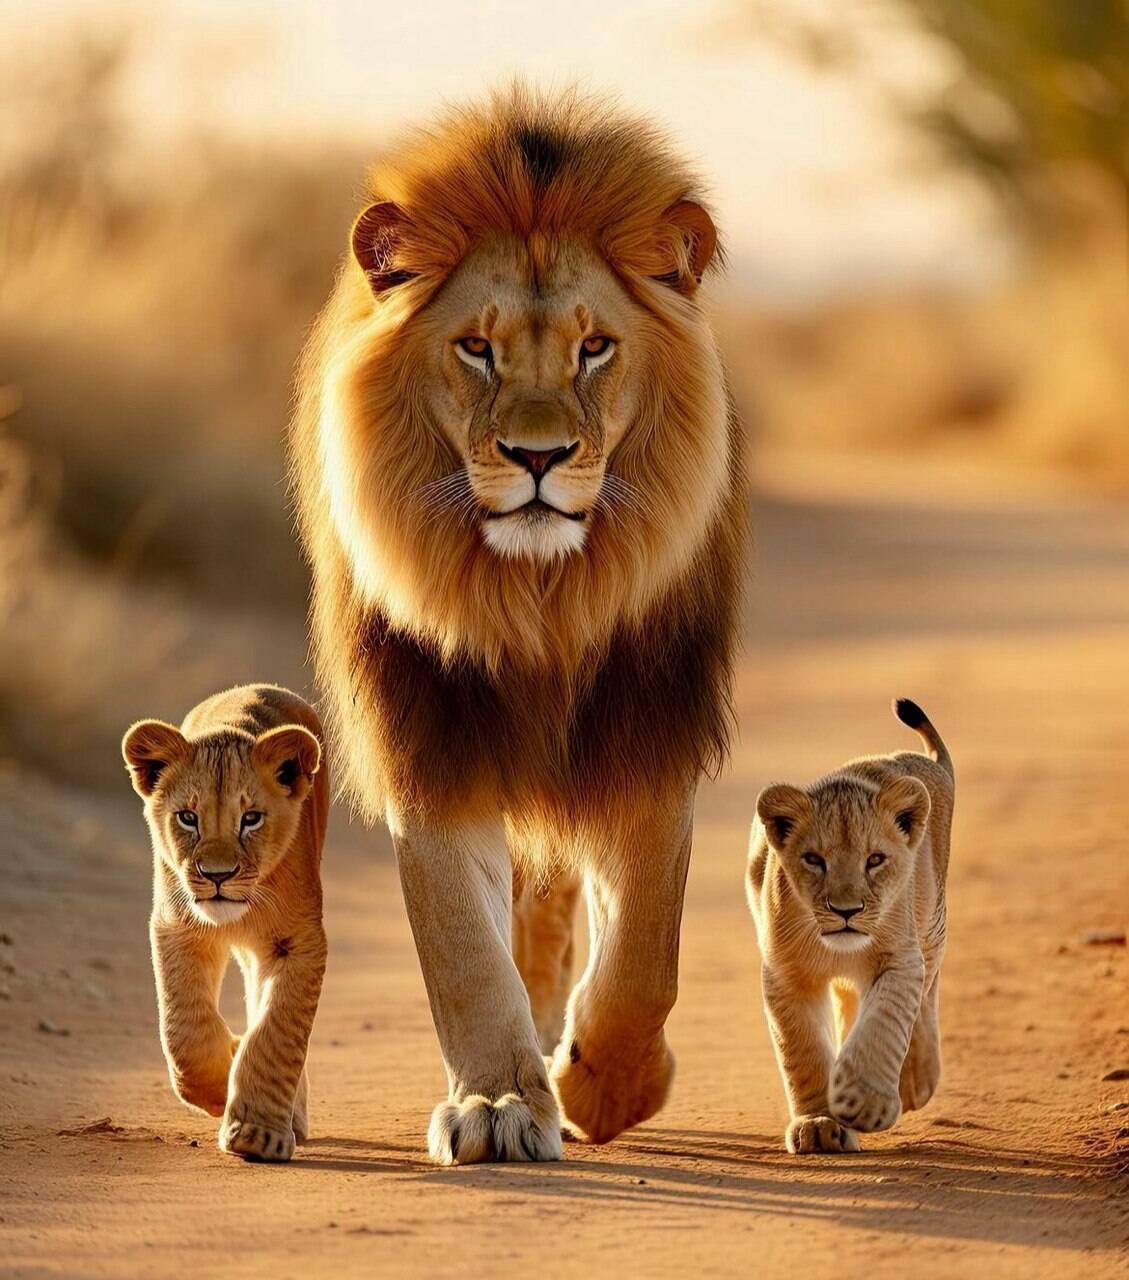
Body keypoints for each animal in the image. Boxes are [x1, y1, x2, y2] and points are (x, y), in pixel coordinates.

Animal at [122, 684, 328, 1162]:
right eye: (187, 817)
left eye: (250, 819)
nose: (218, 876)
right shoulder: (178, 924)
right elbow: (185, 1031)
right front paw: (224, 1075)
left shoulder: (300, 941)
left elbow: (277, 1033)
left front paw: (258, 1132)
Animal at [289, 85, 746, 1163]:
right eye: (476, 347)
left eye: (594, 346)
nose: (537, 457)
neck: (537, 602)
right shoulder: (431, 737)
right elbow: (463, 946)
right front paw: (500, 1098)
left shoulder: (646, 728)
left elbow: (646, 946)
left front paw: (609, 1086)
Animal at [747, 698, 954, 1154]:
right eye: (814, 860)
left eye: (874, 860)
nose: (847, 910)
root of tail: (924, 761)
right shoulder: (786, 973)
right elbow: (801, 1050)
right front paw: (819, 1123)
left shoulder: (900, 959)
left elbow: (885, 1022)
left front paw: (863, 1102)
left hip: (932, 928)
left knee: (927, 994)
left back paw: (915, 1081)